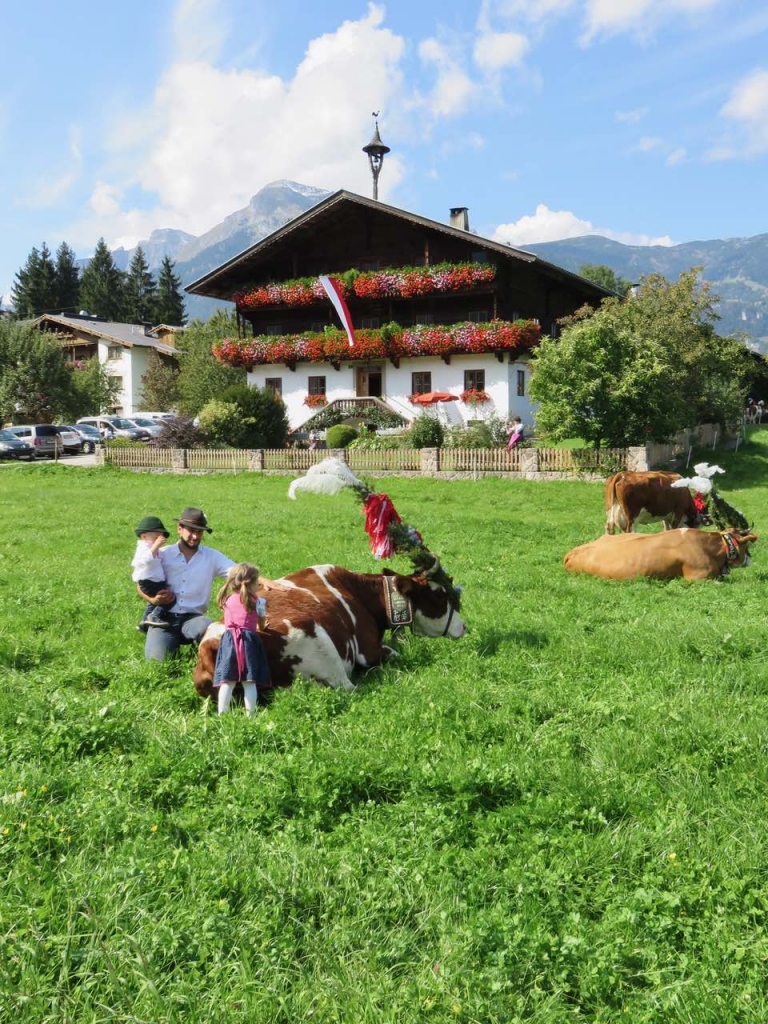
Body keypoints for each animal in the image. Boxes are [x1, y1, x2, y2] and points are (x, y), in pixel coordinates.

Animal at [195, 561, 466, 696]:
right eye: (441, 596)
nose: (464, 626)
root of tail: (212, 644)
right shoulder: (369, 650)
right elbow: (395, 654)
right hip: (322, 645)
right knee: (348, 687)